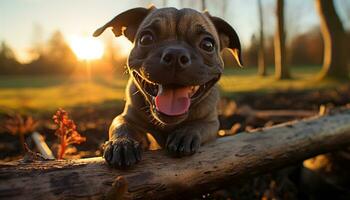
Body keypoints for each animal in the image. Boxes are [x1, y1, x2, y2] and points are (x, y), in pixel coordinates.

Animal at [93, 6, 241, 168]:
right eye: (146, 39)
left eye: (208, 45)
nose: (176, 55)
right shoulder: (128, 117)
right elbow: (121, 124)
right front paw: (122, 143)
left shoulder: (212, 123)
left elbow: (199, 125)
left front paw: (185, 133)